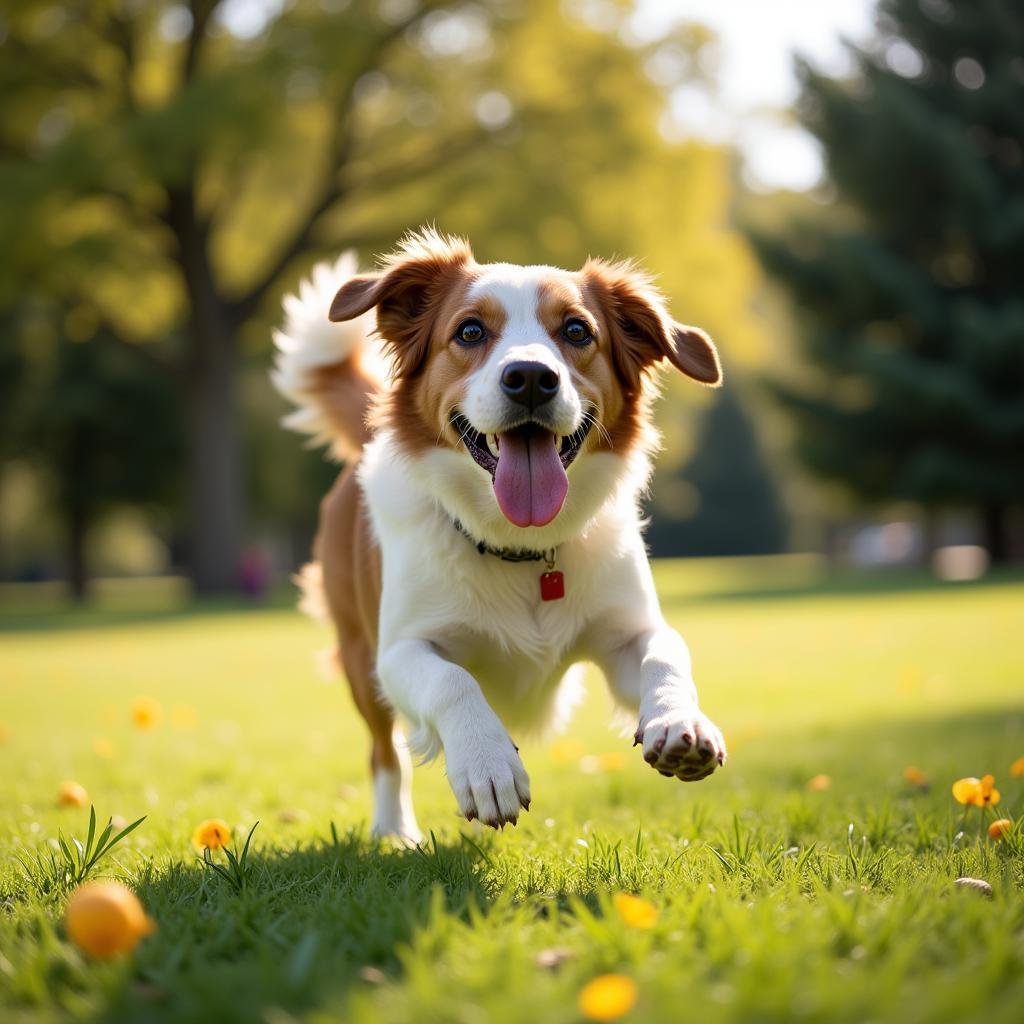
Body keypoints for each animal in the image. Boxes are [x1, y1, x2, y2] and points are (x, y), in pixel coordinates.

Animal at [274, 230, 729, 839]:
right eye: (470, 331)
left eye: (576, 331)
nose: (532, 378)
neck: (523, 548)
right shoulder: (399, 650)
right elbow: (452, 682)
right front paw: (486, 763)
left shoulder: (629, 630)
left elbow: (666, 653)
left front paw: (681, 720)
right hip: (357, 656)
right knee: (385, 754)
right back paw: (395, 830)